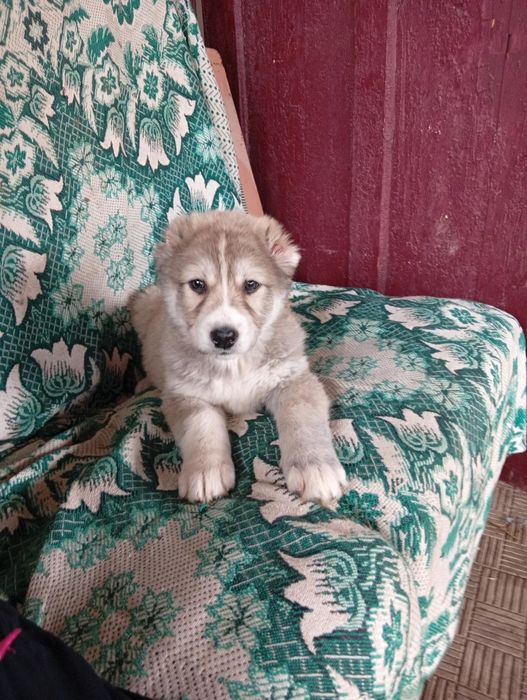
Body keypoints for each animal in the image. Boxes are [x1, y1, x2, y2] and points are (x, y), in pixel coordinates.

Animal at [130, 211, 347, 504]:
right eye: (197, 284)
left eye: (251, 285)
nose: (223, 336)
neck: (235, 366)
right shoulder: (186, 395)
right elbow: (201, 426)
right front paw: (205, 471)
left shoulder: (292, 379)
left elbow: (303, 419)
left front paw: (314, 467)